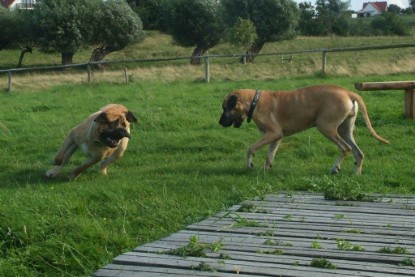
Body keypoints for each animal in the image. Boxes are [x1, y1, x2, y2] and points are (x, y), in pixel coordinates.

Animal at [219, 84, 392, 175]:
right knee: (358, 152)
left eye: (225, 108)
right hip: (345, 130)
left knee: (345, 148)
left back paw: (335, 168)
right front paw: (266, 168)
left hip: (326, 127)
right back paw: (356, 172)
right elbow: (270, 154)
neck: (254, 101)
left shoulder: (272, 133)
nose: (220, 122)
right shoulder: (275, 137)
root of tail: (348, 92)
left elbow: (251, 148)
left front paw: (249, 164)